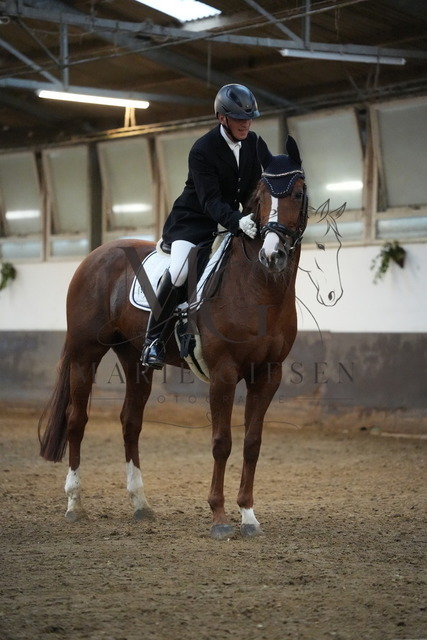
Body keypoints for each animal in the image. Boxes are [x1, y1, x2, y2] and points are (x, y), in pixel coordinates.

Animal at [38, 135, 308, 540]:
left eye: (298, 192)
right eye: (260, 197)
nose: (272, 254)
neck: (258, 287)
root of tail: (95, 255)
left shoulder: (267, 374)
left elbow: (252, 443)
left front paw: (248, 516)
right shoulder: (224, 372)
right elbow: (222, 443)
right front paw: (219, 518)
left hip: (134, 358)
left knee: (130, 422)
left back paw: (140, 504)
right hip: (86, 353)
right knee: (76, 419)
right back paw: (75, 504)